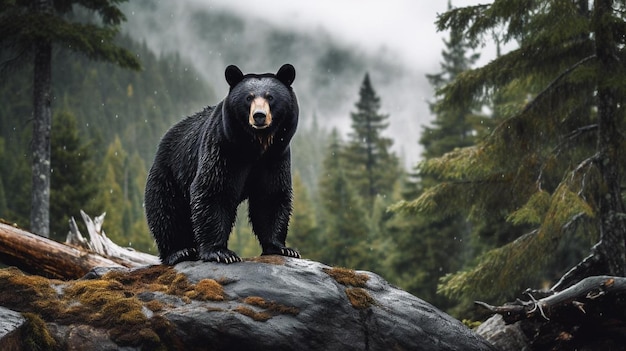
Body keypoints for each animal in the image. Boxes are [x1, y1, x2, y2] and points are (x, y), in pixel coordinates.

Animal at [147, 64, 302, 266]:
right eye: (249, 97)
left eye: (270, 97)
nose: (259, 116)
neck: (256, 146)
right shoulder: (222, 149)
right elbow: (213, 190)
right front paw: (221, 252)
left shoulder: (276, 157)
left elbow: (270, 196)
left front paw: (283, 248)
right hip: (170, 171)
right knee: (166, 210)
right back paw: (180, 251)